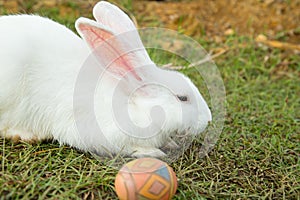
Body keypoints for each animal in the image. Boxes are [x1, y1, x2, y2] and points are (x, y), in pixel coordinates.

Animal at [0, 1, 211, 158]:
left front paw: (171, 143)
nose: (208, 120)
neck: (132, 102)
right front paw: (153, 152)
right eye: (182, 98)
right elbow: (126, 148)